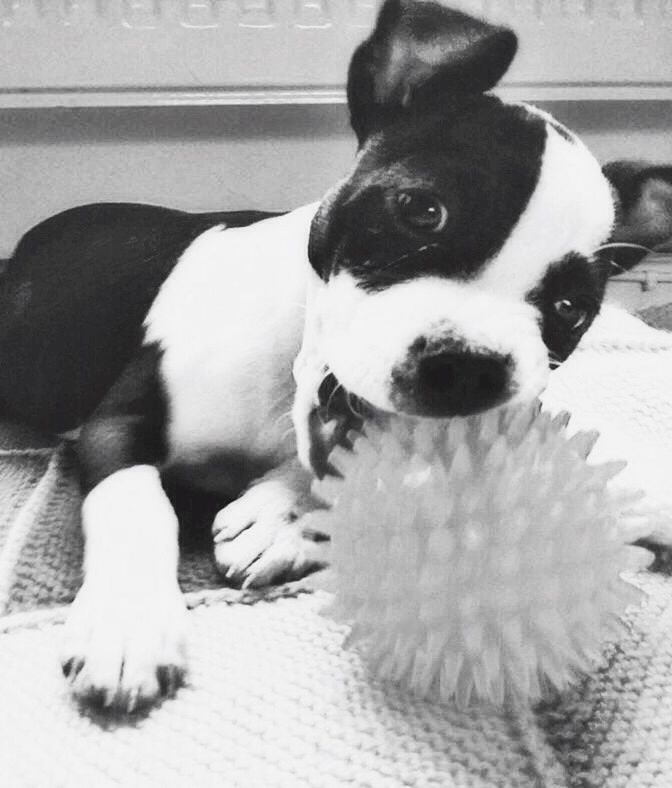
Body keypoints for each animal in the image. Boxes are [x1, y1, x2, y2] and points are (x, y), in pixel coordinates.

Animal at [1, 0, 672, 712]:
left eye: (571, 308)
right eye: (421, 210)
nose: (471, 367)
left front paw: (282, 516)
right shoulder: (114, 425)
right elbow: (135, 503)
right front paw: (129, 622)